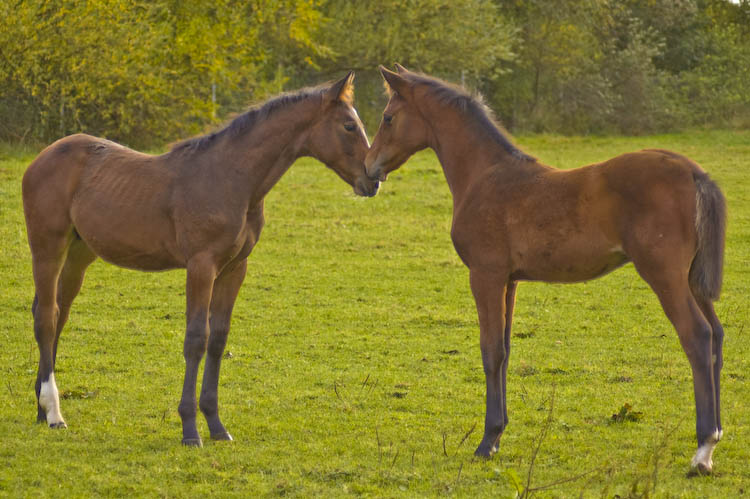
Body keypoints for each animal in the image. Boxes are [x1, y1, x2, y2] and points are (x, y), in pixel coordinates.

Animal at [22, 72, 379, 446]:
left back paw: (41, 408)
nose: (373, 179)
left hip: (79, 255)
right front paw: (190, 429)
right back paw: (54, 414)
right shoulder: (201, 265)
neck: (231, 179)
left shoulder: (234, 268)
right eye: (349, 125)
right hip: (47, 247)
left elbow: (218, 339)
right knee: (46, 317)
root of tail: (41, 158)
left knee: (57, 313)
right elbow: (196, 338)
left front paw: (217, 425)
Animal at [365, 65, 726, 474]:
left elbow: (490, 351)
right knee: (716, 334)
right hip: (692, 279)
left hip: (664, 275)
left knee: (697, 336)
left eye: (387, 117)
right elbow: (505, 351)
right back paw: (715, 438)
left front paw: (486, 441)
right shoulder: (509, 281)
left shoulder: (485, 275)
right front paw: (498, 435)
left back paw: (703, 448)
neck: (484, 175)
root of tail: (694, 172)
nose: (369, 168)